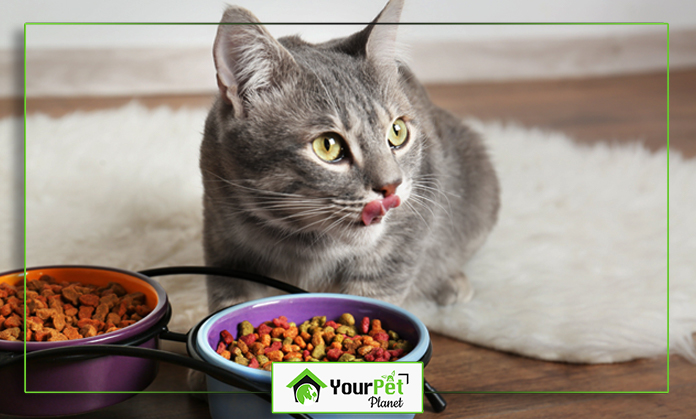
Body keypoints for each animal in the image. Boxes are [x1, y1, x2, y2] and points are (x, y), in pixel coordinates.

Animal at [198, 0, 498, 314]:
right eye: (327, 146)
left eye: (398, 132)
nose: (392, 186)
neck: (302, 242)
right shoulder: (225, 244)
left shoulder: (402, 239)